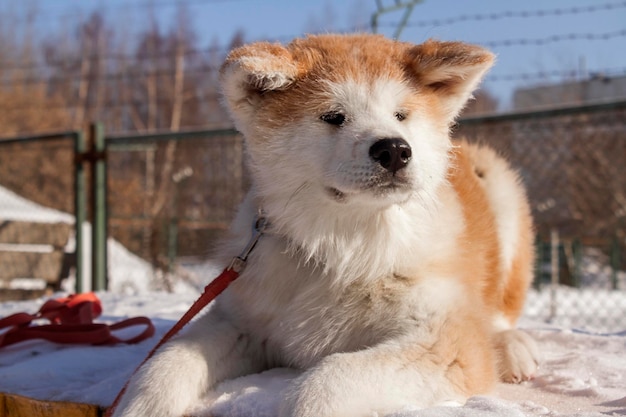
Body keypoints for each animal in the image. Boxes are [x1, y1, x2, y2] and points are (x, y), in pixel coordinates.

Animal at [112, 35, 536, 416]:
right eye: (334, 117)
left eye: (401, 115)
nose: (395, 149)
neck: (344, 242)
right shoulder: (241, 321)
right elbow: (168, 360)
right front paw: (142, 406)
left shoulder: (446, 340)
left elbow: (328, 379)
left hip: (500, 189)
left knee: (498, 311)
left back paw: (512, 348)